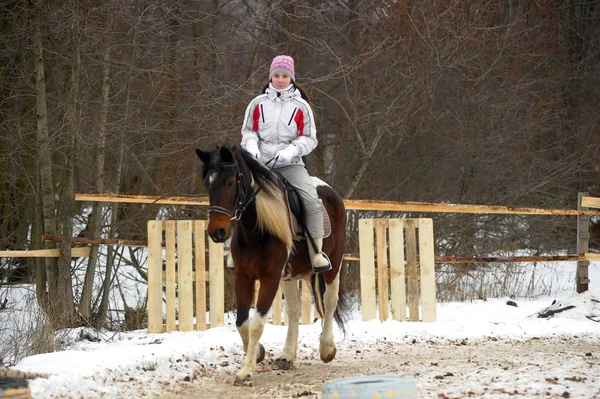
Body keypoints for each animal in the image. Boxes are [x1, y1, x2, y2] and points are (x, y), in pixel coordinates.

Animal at [195, 148, 350, 388]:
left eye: (230, 182)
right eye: (208, 184)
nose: (217, 232)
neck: (255, 228)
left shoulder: (270, 277)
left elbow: (257, 323)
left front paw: (246, 370)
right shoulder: (244, 277)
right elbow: (241, 322)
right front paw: (257, 353)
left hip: (332, 267)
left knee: (329, 301)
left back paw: (327, 349)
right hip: (289, 276)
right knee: (294, 309)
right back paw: (287, 356)